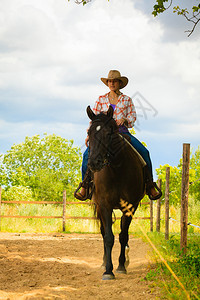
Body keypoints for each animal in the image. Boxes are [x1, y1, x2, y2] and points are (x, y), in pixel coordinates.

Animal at [86, 104, 146, 280]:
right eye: (89, 133)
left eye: (108, 133)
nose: (94, 162)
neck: (117, 169)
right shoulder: (104, 205)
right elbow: (108, 237)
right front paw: (108, 270)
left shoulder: (131, 206)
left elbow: (123, 235)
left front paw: (120, 266)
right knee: (103, 231)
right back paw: (104, 261)